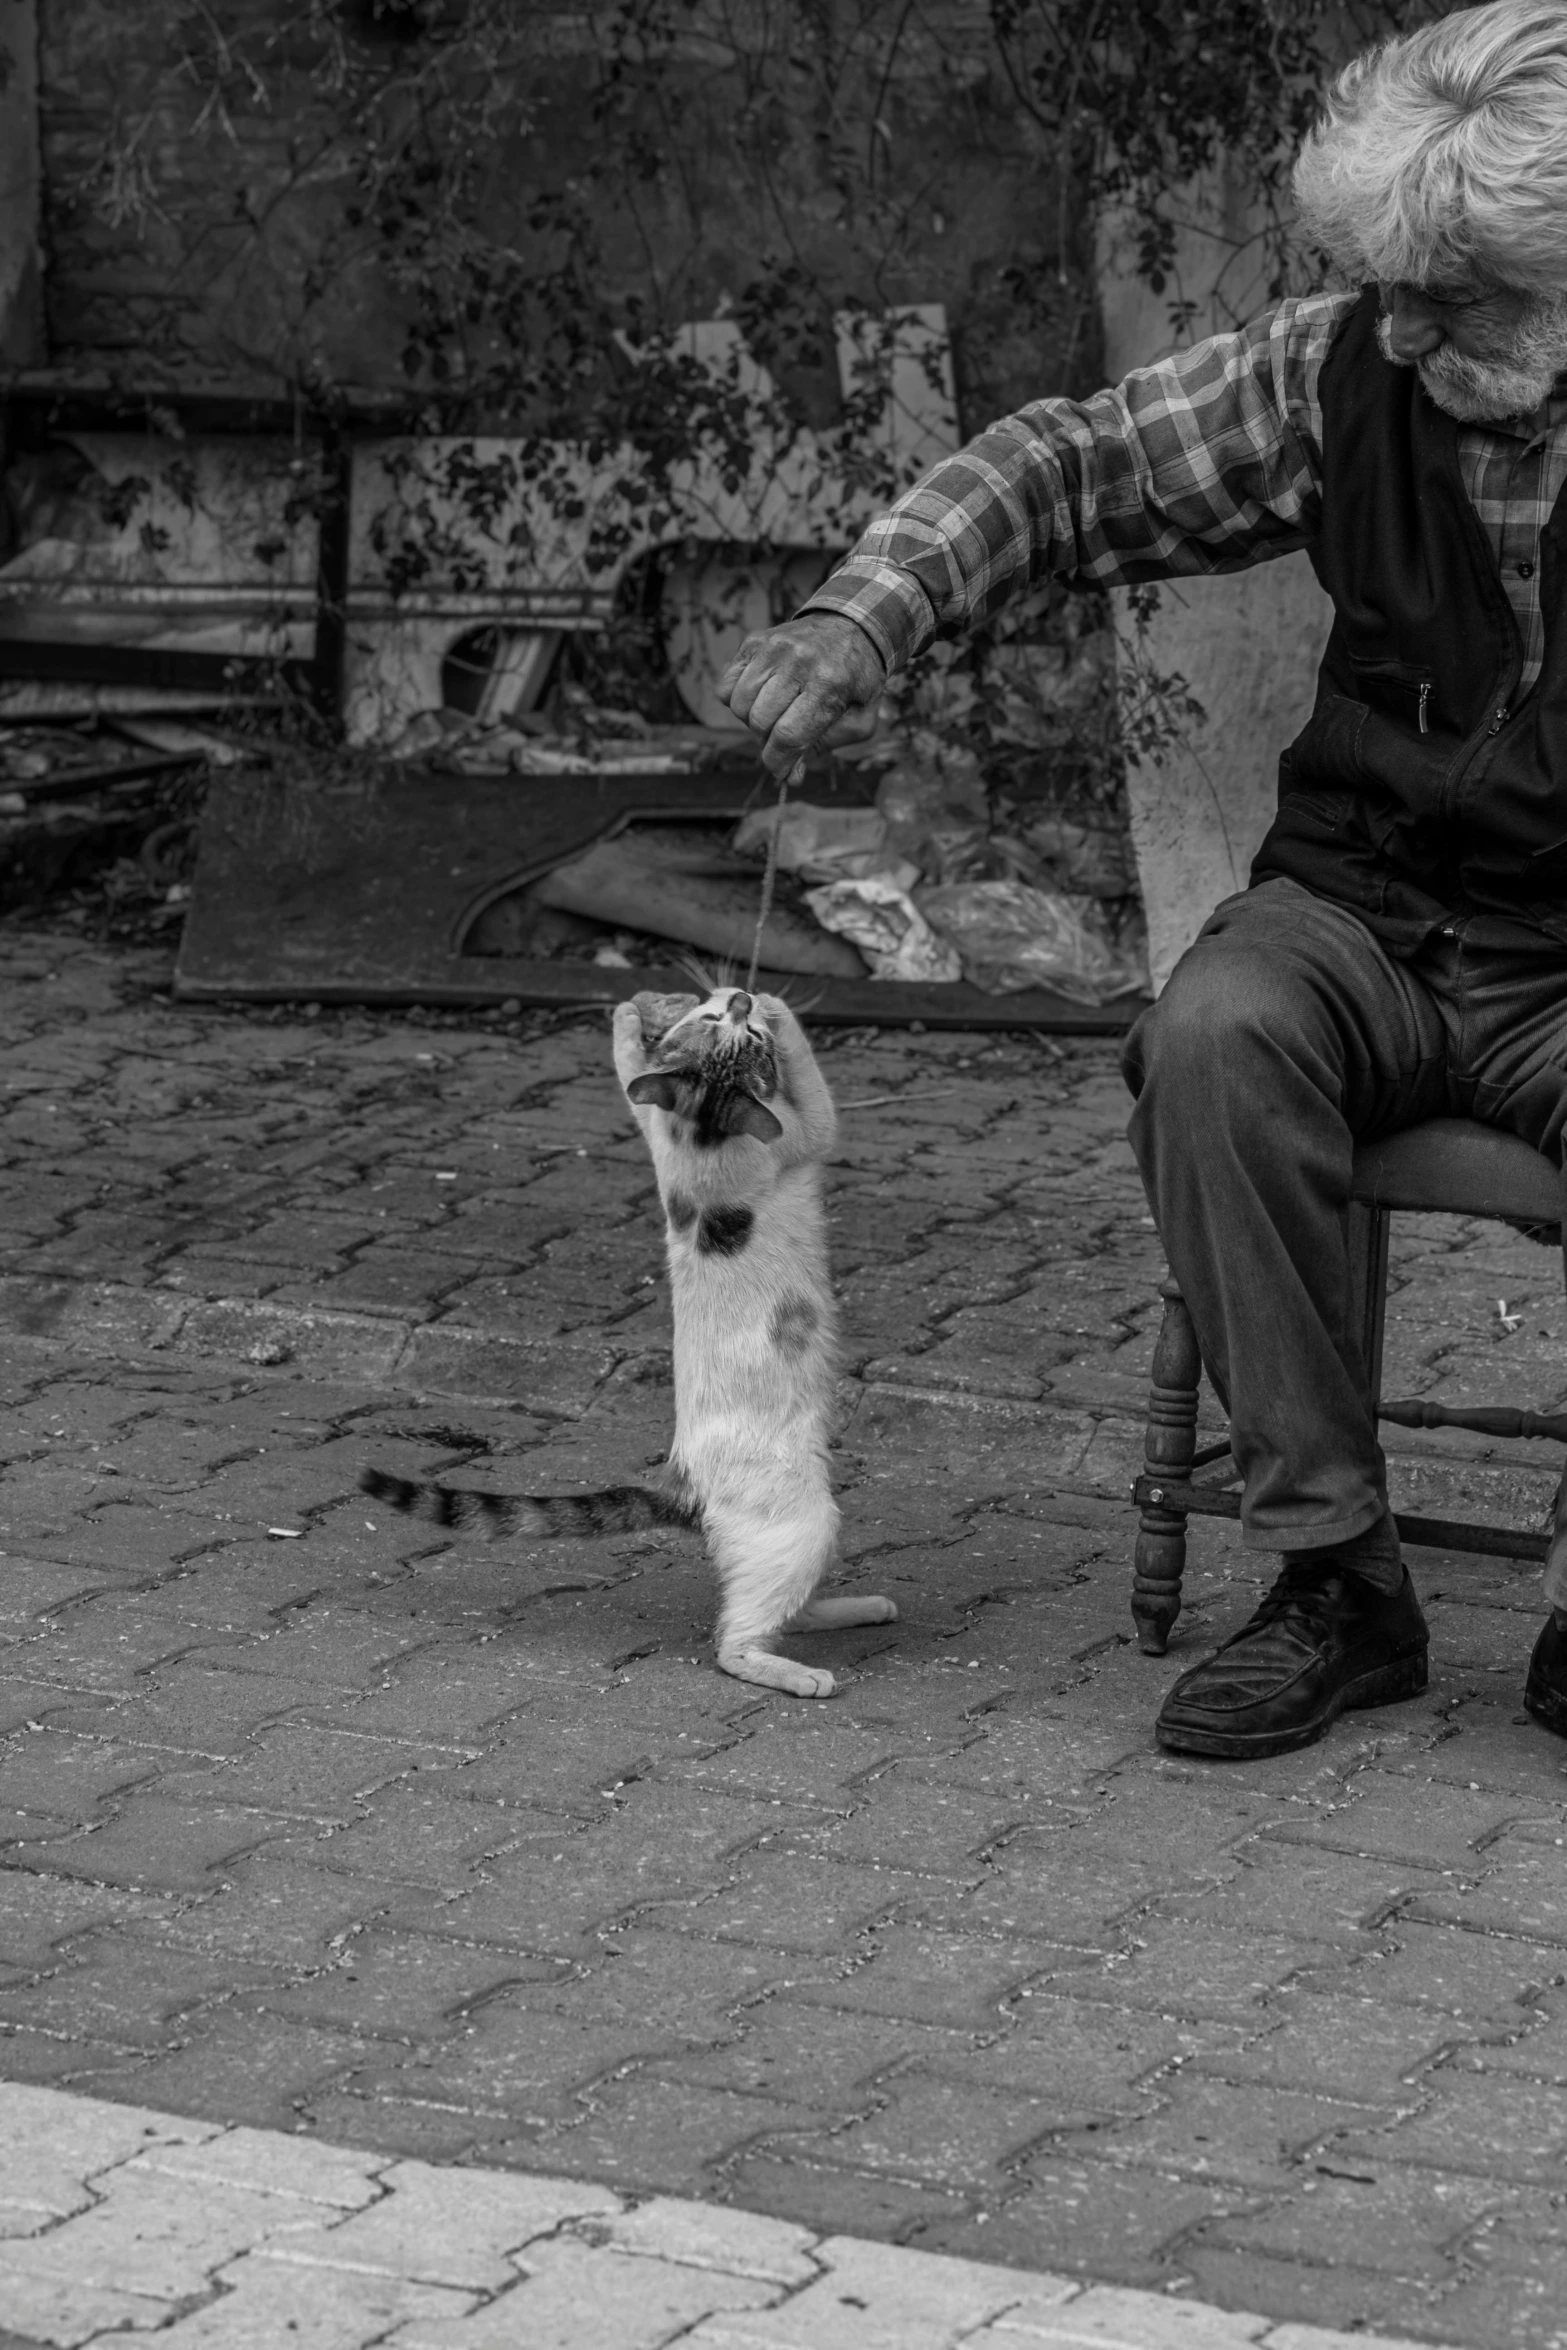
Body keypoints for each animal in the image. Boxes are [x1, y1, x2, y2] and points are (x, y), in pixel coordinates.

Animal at [359, 982, 892, 1701]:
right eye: (733, 1030)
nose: (740, 996)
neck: (699, 1133)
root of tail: (681, 1477)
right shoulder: (802, 1134)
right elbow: (814, 1096)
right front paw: (782, 1010)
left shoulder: (656, 1130)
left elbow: (626, 1074)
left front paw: (626, 1015)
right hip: (805, 1519)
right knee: (734, 1641)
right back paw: (798, 1673)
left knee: (781, 1607)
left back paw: (854, 1609)